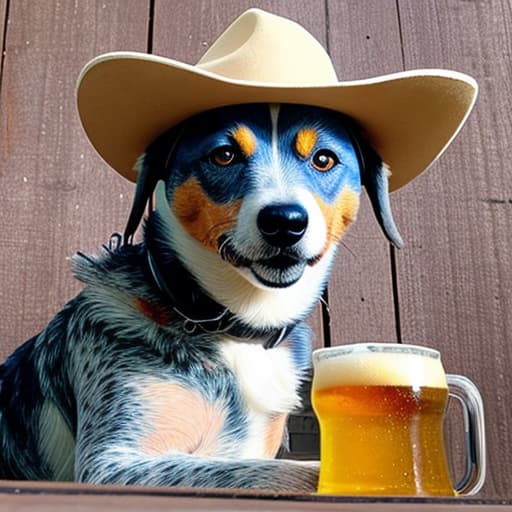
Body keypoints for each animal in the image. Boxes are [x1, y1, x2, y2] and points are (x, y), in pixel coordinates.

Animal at [0, 102, 400, 490]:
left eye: (324, 159)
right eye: (224, 155)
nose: (284, 222)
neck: (237, 327)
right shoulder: (112, 462)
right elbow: (293, 473)